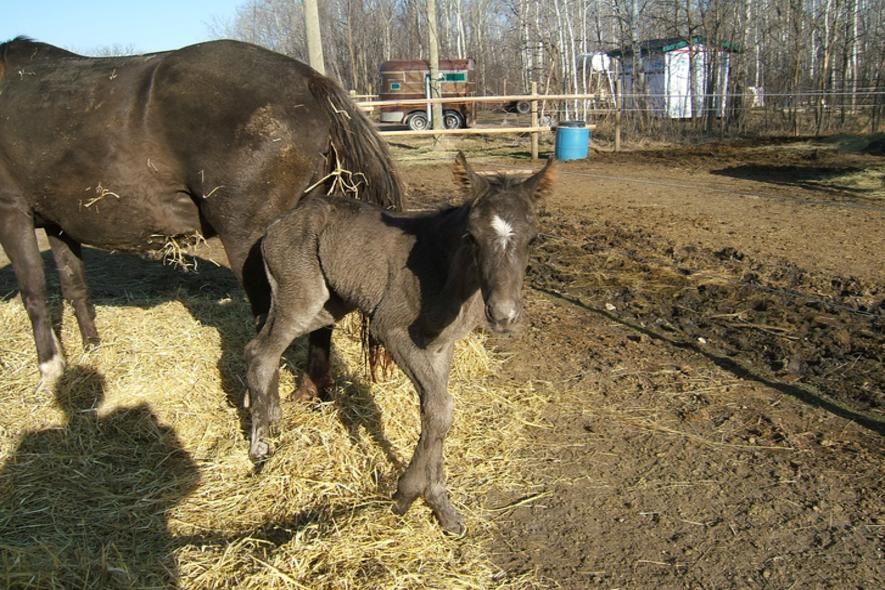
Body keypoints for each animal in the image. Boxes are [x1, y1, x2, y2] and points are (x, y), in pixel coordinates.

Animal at [0, 37, 402, 393]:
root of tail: (307, 78)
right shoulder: (58, 224)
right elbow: (75, 287)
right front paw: (91, 349)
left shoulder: (13, 213)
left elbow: (34, 294)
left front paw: (50, 370)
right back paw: (311, 390)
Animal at [245, 152, 555, 534]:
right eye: (472, 237)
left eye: (534, 239)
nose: (503, 315)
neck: (446, 271)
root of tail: (275, 225)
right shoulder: (391, 329)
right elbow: (440, 408)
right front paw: (406, 494)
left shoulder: (440, 347)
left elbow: (435, 411)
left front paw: (441, 506)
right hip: (301, 298)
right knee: (262, 352)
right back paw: (260, 447)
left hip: (328, 306)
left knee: (262, 347)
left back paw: (273, 421)